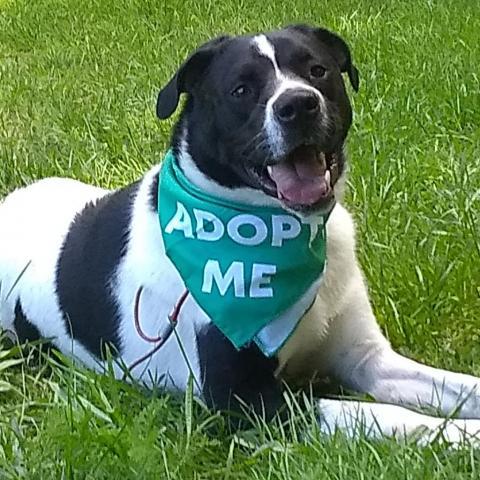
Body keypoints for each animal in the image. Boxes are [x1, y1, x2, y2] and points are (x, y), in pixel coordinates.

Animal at [0, 24, 480, 444]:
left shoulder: (370, 360)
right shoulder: (244, 401)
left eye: (317, 70)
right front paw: (465, 437)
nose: (298, 105)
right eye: (241, 90)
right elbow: (387, 417)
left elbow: (456, 387)